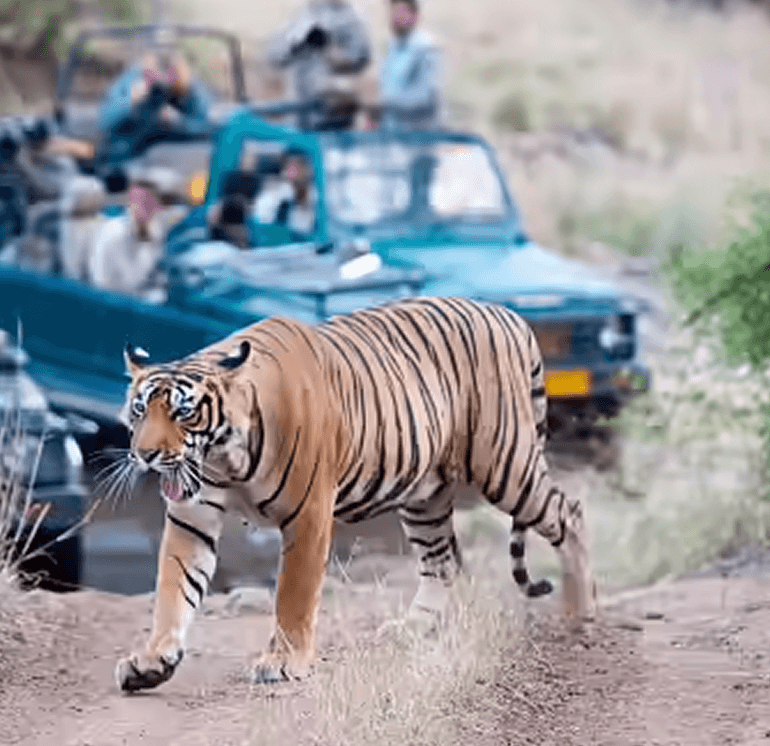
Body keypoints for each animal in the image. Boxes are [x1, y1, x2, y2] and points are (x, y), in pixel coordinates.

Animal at [114, 297, 596, 692]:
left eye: (183, 412)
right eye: (139, 410)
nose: (145, 455)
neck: (222, 458)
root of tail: (510, 315)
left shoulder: (308, 514)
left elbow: (293, 595)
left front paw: (283, 662)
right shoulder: (191, 516)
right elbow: (174, 589)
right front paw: (151, 662)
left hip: (504, 465)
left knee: (569, 513)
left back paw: (580, 617)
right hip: (425, 494)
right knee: (442, 561)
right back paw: (411, 629)